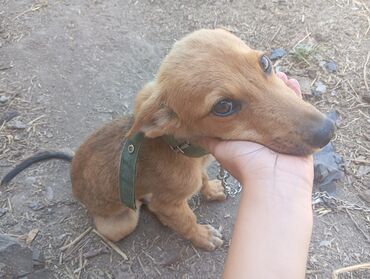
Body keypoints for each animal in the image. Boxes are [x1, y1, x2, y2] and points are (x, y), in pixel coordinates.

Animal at [0, 28, 336, 252]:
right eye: (223, 107)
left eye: (265, 63)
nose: (328, 130)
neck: (186, 150)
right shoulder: (170, 204)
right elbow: (185, 220)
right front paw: (202, 236)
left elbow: (203, 180)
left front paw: (210, 188)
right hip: (123, 220)